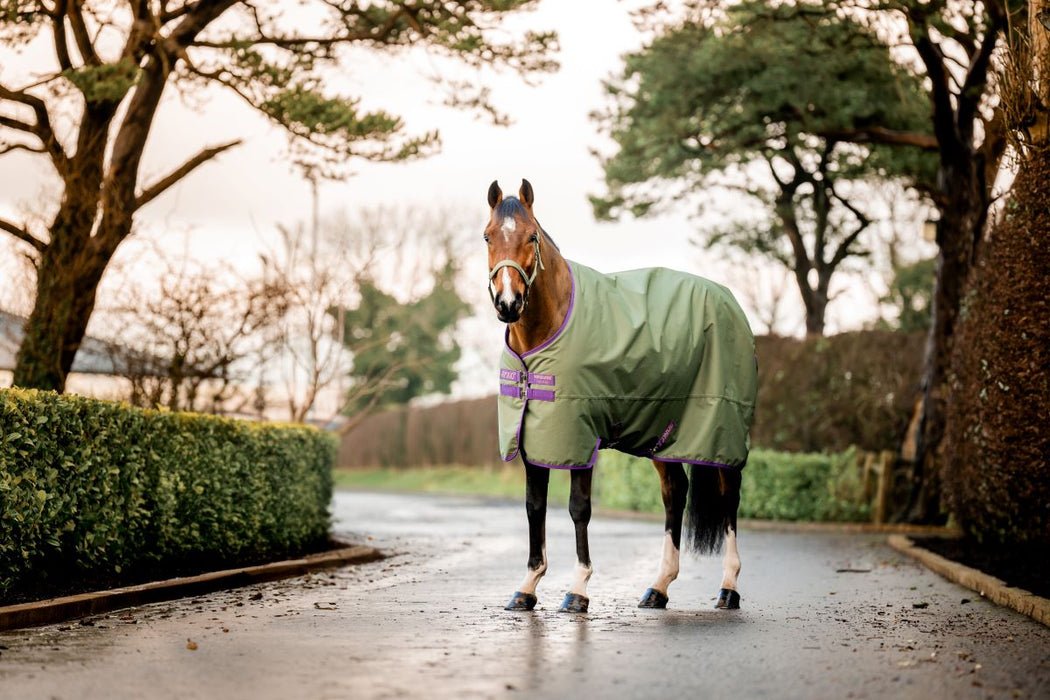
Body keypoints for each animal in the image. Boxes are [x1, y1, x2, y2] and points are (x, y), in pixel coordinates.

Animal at [482, 179, 755, 612]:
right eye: (488, 236)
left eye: (531, 236)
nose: (508, 303)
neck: (549, 329)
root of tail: (729, 301)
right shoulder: (532, 437)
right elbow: (534, 506)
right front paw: (526, 588)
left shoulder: (579, 436)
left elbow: (578, 508)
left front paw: (577, 590)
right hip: (666, 434)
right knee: (674, 493)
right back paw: (658, 588)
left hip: (721, 430)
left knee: (729, 498)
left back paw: (729, 588)